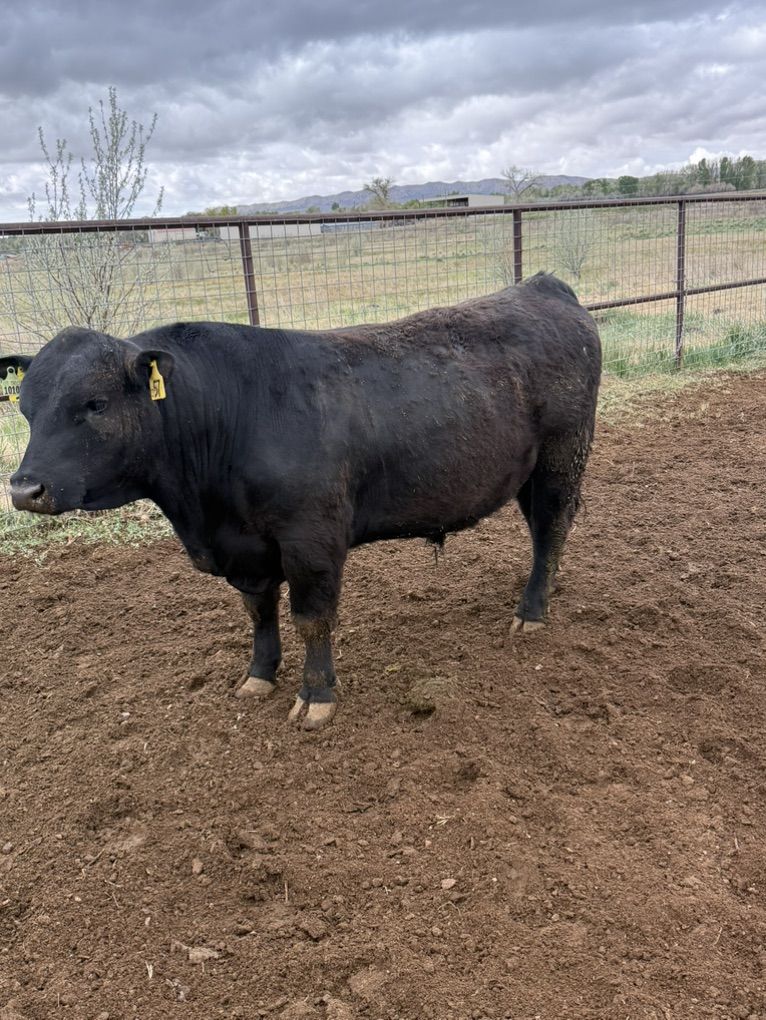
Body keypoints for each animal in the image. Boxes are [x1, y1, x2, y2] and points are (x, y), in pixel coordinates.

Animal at [1, 272, 601, 729]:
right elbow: (258, 610)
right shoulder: (247, 548)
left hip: (562, 456)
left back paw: (531, 613)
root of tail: (543, 286)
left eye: (95, 404)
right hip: (528, 473)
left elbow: (311, 618)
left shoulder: (311, 540)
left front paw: (316, 698)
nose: (25, 489)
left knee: (553, 526)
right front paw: (258, 675)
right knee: (544, 531)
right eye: (25, 406)